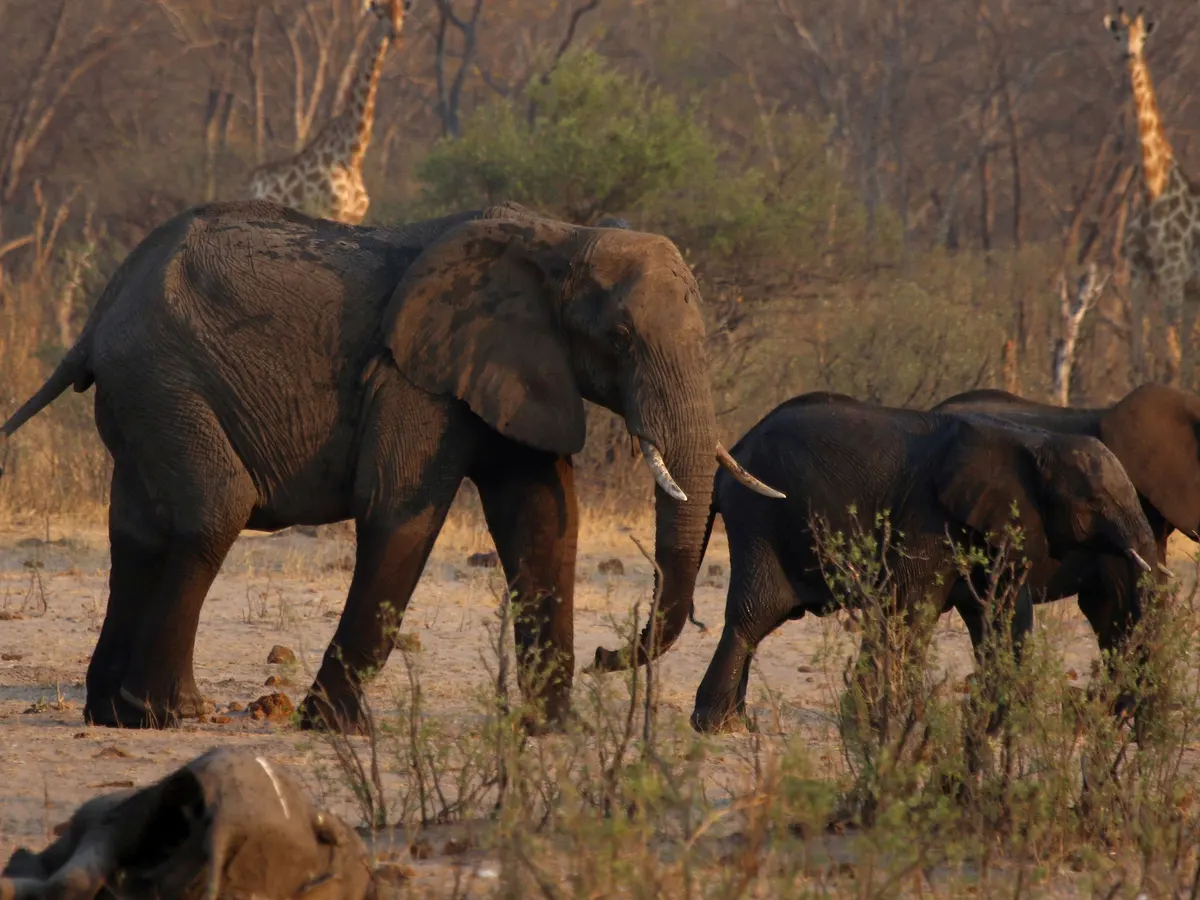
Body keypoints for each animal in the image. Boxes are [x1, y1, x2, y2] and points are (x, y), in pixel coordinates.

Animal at [0, 199, 782, 733]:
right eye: (618, 337)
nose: (603, 656)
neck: (559, 236)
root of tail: (97, 317)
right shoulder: (417, 376)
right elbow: (403, 512)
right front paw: (337, 729)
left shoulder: (515, 369)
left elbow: (544, 523)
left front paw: (550, 731)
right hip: (164, 379)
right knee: (212, 512)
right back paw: (170, 714)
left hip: (141, 394)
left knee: (134, 531)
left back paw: (110, 713)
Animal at [690, 394, 1157, 733]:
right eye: (1095, 503)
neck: (1034, 442)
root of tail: (731, 450)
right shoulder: (928, 517)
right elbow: (909, 609)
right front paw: (880, 725)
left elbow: (1003, 615)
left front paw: (1000, 724)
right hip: (759, 515)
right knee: (756, 614)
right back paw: (718, 727)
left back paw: (734, 723)